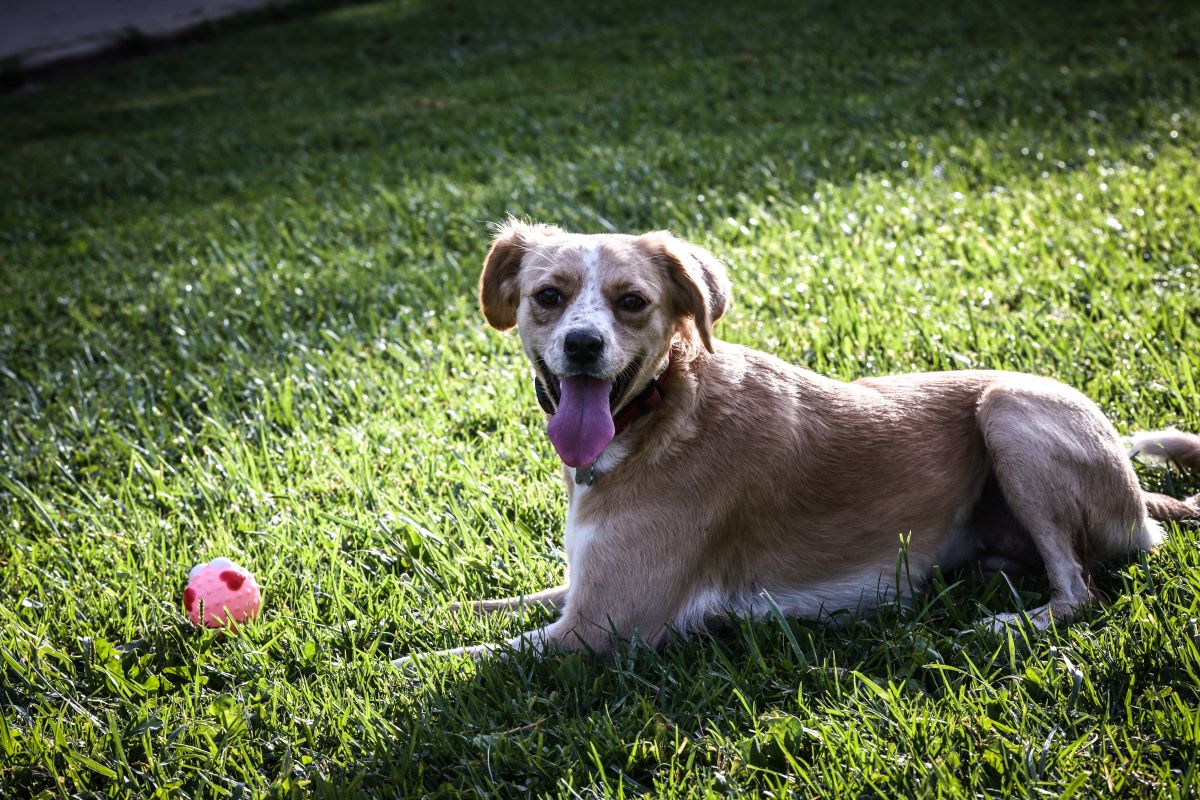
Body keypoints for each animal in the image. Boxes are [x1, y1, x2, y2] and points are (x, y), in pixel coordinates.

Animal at [393, 221, 1200, 666]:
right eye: (548, 297)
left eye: (633, 303)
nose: (584, 346)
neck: (661, 414)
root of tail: (1138, 491)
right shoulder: (587, 589)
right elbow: (497, 606)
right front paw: (422, 613)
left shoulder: (600, 628)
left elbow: (446, 663)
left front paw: (372, 670)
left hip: (1009, 408)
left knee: (1081, 591)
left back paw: (1009, 622)